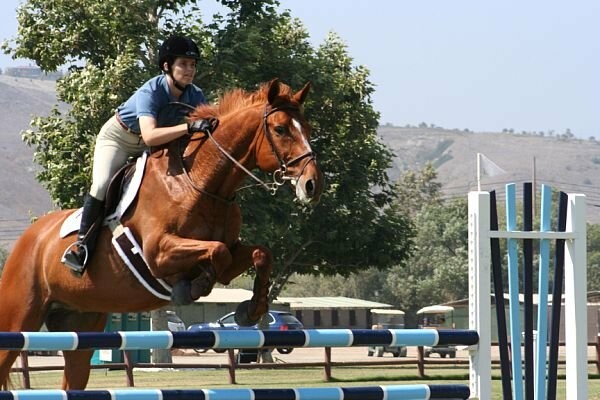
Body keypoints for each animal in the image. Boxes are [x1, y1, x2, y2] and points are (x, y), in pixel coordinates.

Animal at [0, 78, 324, 388]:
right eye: (280, 129)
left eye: (307, 128)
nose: (312, 185)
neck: (200, 184)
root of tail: (29, 238)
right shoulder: (159, 254)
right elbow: (215, 251)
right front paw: (192, 288)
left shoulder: (232, 253)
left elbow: (258, 253)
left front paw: (251, 310)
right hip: (19, 317)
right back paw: (78, 254)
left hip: (81, 322)